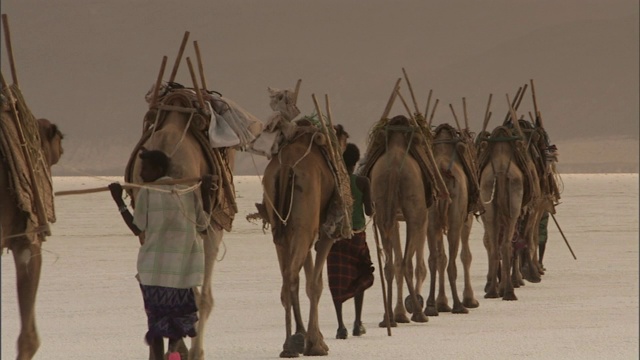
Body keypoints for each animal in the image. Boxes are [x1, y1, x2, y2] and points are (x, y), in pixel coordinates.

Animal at [258, 121, 350, 358]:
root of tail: (286, 168)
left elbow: (307, 281)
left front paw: (310, 338)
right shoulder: (325, 233)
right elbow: (315, 285)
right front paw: (317, 344)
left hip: (281, 227)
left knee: (287, 277)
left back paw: (290, 342)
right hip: (306, 221)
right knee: (292, 275)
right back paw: (292, 345)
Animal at [364, 115, 430, 326]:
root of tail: (393, 169)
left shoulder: (393, 219)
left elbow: (397, 262)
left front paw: (399, 313)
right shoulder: (422, 218)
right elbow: (417, 265)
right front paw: (407, 309)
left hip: (382, 209)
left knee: (389, 265)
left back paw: (388, 318)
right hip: (415, 212)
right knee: (407, 261)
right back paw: (419, 313)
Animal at [424, 122, 480, 314]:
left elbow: (441, 257)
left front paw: (441, 302)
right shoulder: (466, 219)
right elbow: (466, 256)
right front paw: (470, 299)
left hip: (432, 217)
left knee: (433, 259)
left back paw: (430, 306)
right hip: (456, 218)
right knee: (452, 262)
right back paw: (458, 305)